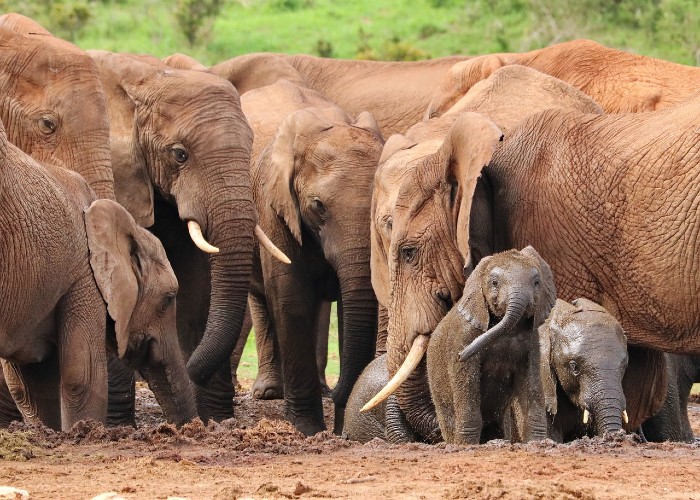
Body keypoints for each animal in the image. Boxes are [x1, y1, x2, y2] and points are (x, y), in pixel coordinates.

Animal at [87, 51, 287, 423]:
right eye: (180, 154)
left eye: (250, 148)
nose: (191, 367)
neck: (146, 77)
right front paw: (117, 425)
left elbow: (196, 285)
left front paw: (213, 420)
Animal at [241, 79, 384, 435]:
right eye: (318, 206)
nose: (339, 394)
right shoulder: (272, 205)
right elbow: (290, 298)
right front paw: (306, 429)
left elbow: (351, 307)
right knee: (261, 298)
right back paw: (269, 392)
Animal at [424, 247, 554, 444]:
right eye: (494, 283)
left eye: (536, 282)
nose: (462, 355)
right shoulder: (463, 336)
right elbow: (467, 385)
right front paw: (466, 445)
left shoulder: (532, 343)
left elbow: (531, 386)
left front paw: (537, 442)